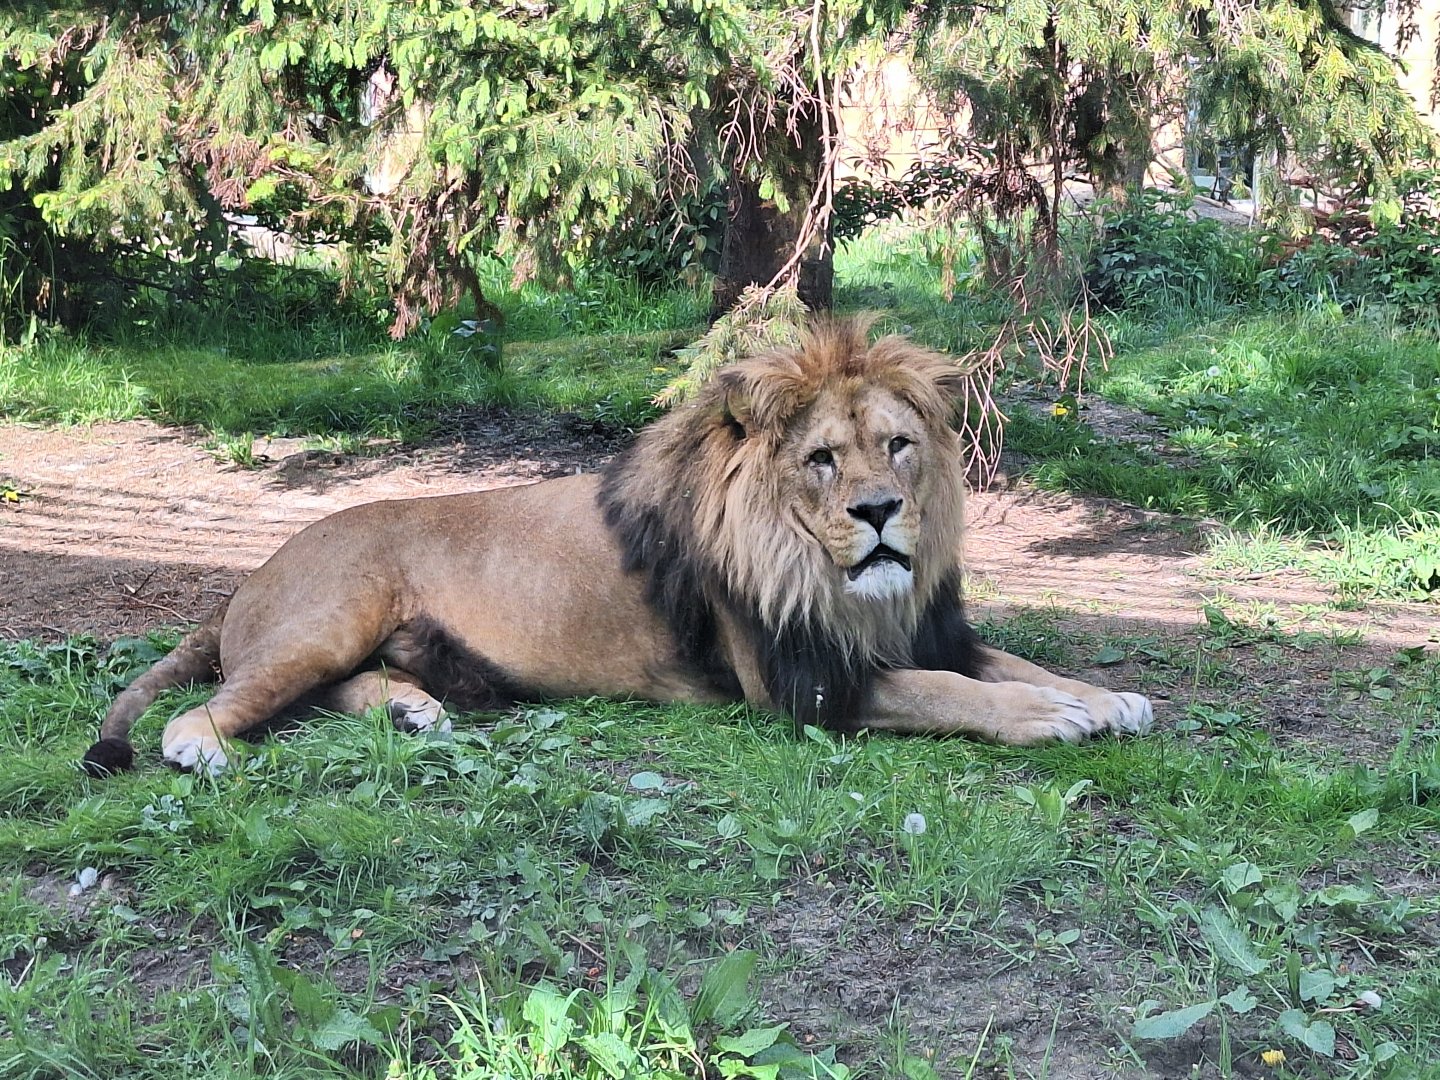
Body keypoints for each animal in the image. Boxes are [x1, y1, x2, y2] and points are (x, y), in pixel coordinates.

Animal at [82, 316, 1151, 777]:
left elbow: (1005, 661)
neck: (844, 583)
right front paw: (1052, 716)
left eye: (897, 445)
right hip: (326, 618)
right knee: (214, 706)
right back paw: (203, 752)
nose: (882, 511)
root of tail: (242, 583)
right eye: (821, 459)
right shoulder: (800, 682)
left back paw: (414, 711)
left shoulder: (922, 629)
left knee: (316, 696)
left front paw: (1105, 698)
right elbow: (951, 691)